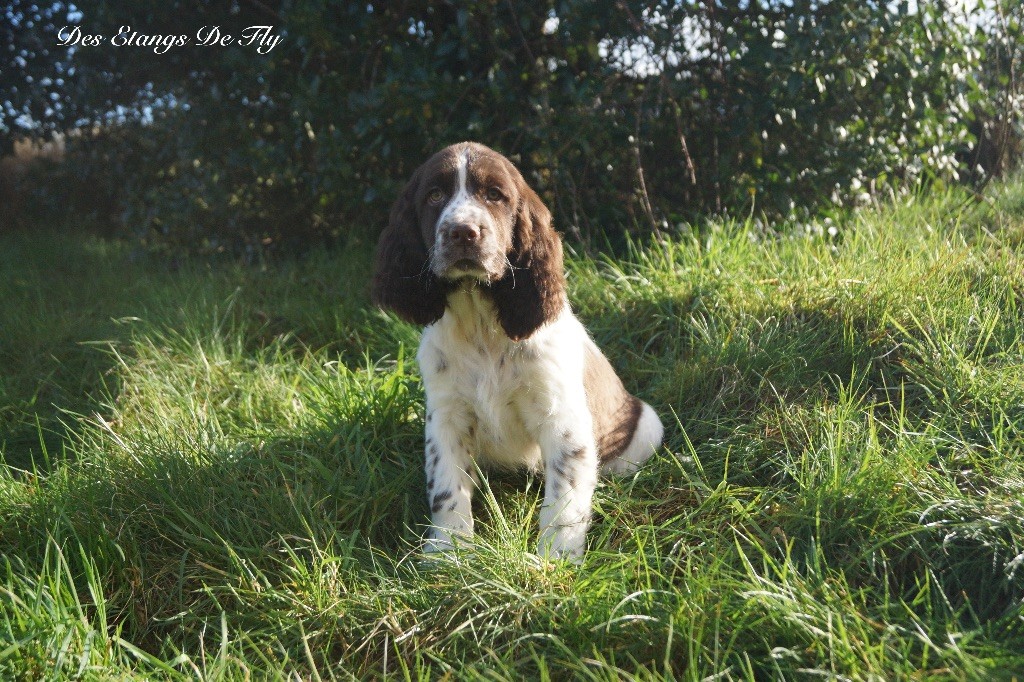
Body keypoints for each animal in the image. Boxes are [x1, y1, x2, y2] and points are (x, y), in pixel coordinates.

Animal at [370, 142, 663, 557]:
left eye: (495, 195)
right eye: (434, 195)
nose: (463, 232)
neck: (481, 324)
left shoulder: (562, 419)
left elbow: (564, 499)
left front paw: (555, 559)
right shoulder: (446, 415)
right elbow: (446, 487)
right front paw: (448, 553)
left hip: (647, 425)